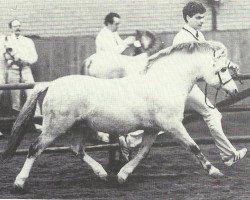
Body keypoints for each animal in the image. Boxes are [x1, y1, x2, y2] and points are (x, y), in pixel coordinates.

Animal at [1, 40, 238, 191]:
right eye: (222, 69)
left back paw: (103, 174)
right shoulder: (173, 125)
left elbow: (143, 152)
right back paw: (19, 183)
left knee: (77, 149)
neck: (163, 82)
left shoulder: (153, 128)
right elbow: (193, 147)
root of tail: (50, 84)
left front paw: (123, 175)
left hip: (79, 127)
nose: (234, 90)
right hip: (55, 126)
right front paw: (215, 171)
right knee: (35, 148)